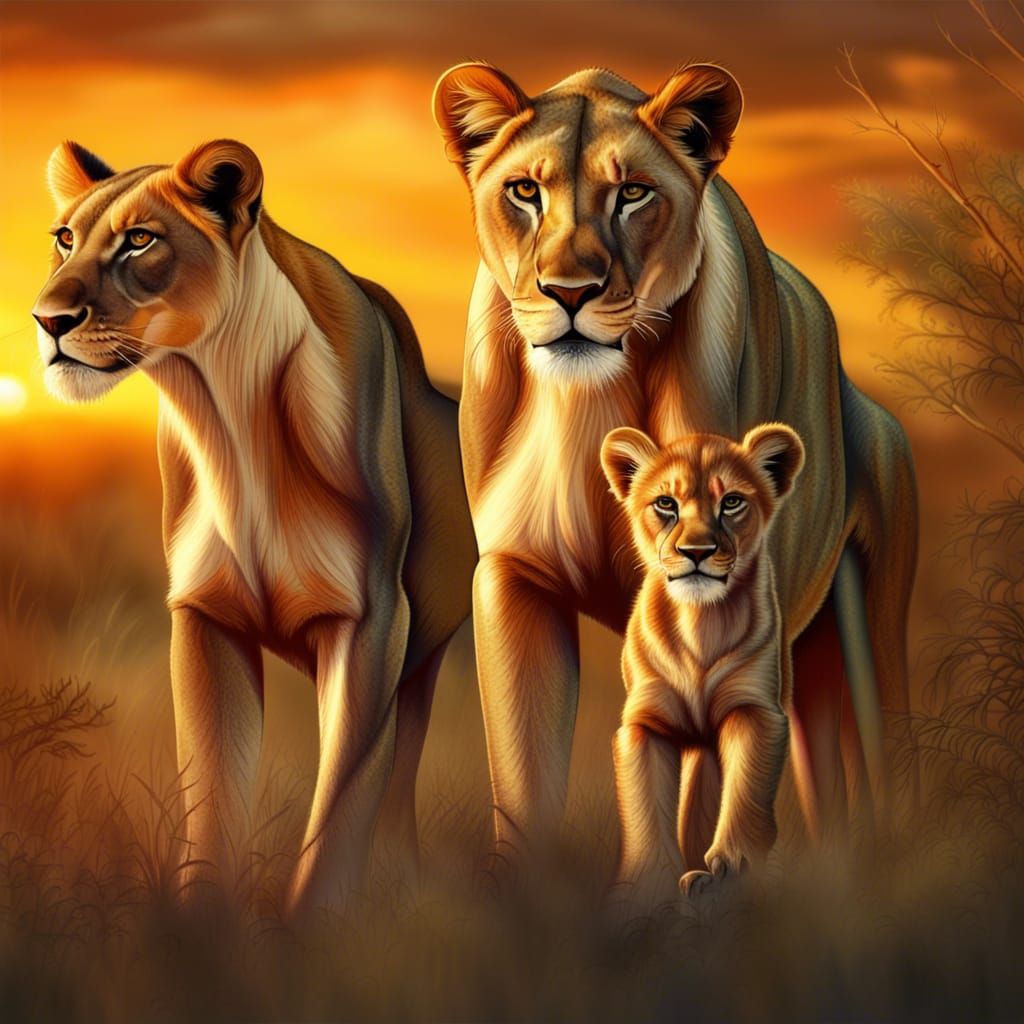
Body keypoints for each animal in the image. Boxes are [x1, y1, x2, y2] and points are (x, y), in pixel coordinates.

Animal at [32, 139, 476, 914]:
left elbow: (342, 803)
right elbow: (213, 797)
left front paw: (309, 929)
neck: (225, 406)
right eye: (64, 238)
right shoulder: (207, 616)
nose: (46, 319)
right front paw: (201, 929)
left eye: (139, 240)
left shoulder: (372, 622)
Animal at [601, 423, 804, 898]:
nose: (697, 551)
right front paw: (643, 886)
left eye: (730, 502)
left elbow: (746, 791)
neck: (700, 621)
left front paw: (732, 866)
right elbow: (644, 810)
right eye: (666, 504)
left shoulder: (755, 709)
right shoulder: (644, 724)